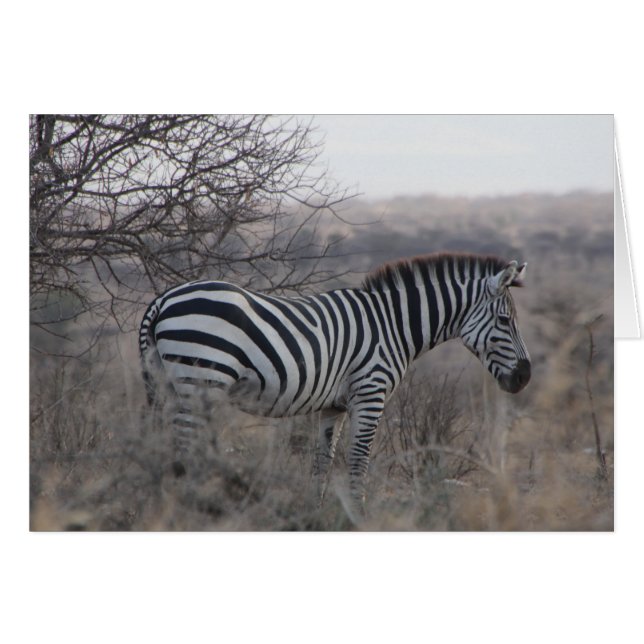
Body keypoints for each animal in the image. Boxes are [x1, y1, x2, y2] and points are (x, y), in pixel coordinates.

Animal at [139, 252, 530, 508]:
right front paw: (357, 514)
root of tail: (163, 299)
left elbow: (322, 461)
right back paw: (191, 506)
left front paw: (317, 511)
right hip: (199, 381)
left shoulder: (333, 406)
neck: (393, 325)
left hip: (173, 385)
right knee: (185, 449)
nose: (525, 377)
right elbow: (358, 458)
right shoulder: (370, 394)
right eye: (504, 321)